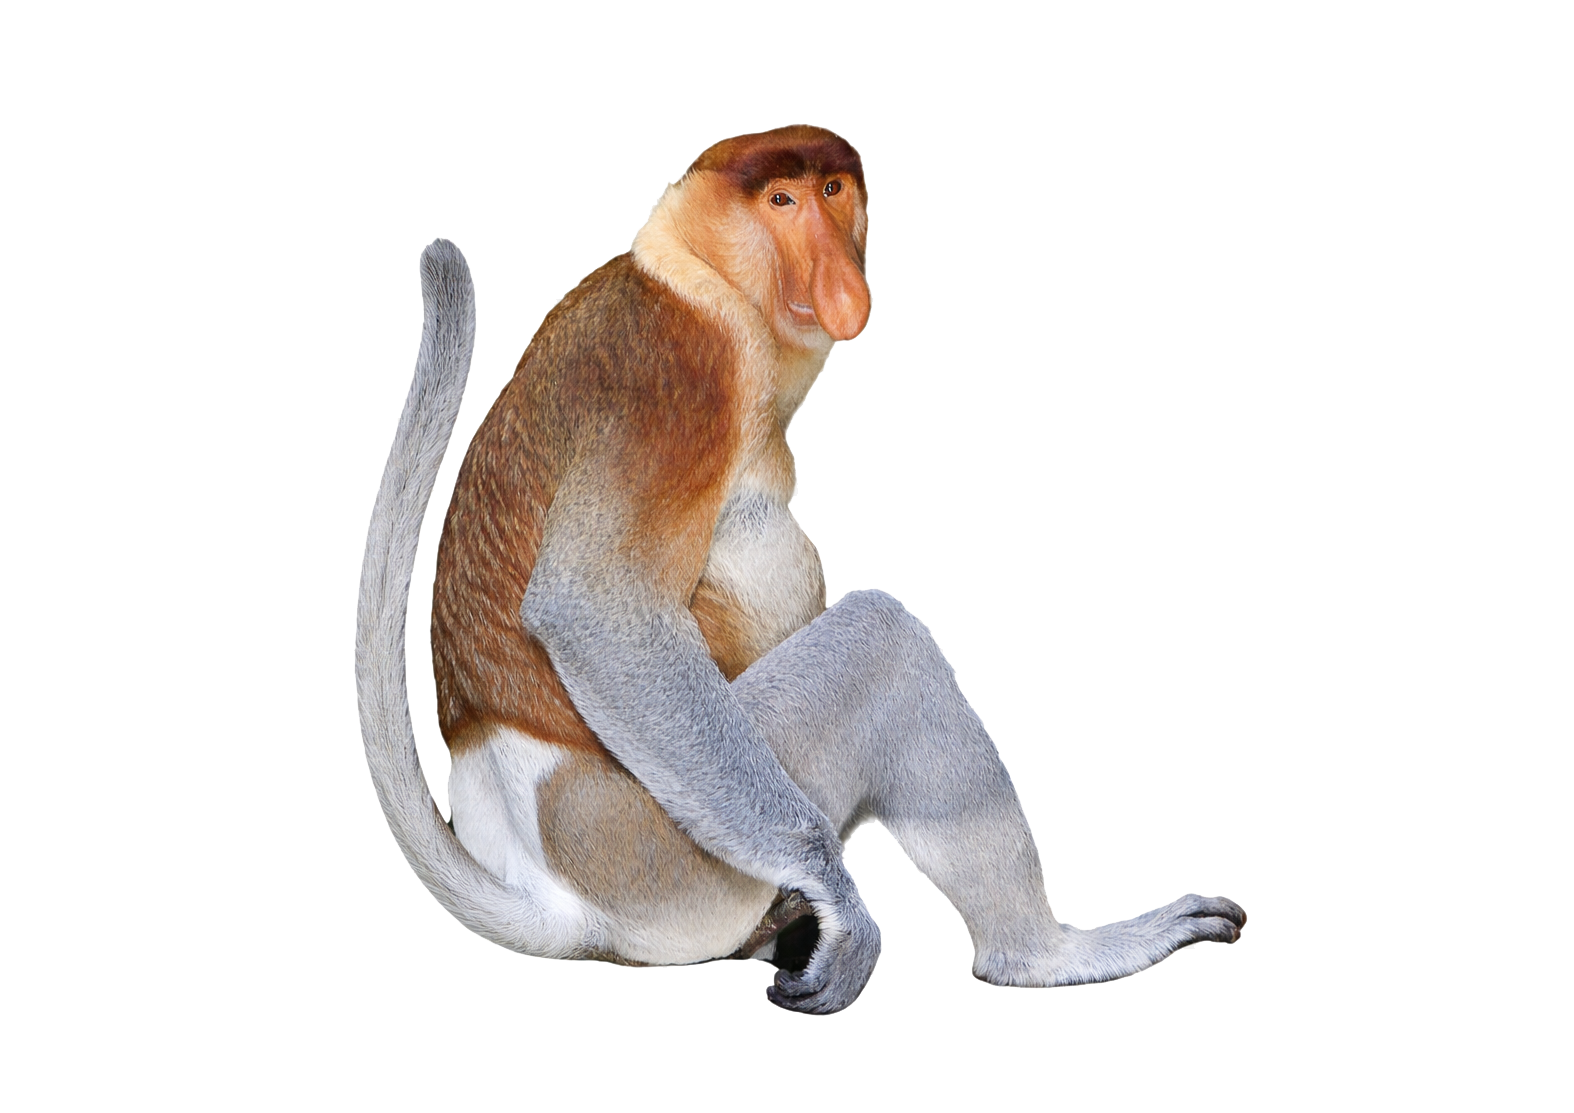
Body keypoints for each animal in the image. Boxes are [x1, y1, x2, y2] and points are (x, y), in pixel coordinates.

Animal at [356, 125, 1246, 1014]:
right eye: (780, 200)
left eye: (832, 190)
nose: (839, 279)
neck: (695, 271)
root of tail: (551, 895)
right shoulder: (675, 374)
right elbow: (593, 610)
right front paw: (839, 896)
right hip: (657, 851)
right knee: (885, 641)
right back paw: (1041, 954)